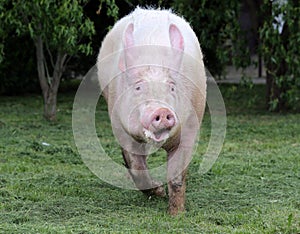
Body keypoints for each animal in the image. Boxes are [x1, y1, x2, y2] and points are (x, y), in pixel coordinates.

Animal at [96, 6, 206, 216]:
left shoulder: (190, 126)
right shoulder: (120, 124)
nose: (161, 110)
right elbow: (136, 165)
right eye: (138, 87)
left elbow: (177, 176)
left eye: (172, 87)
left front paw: (176, 214)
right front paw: (159, 191)